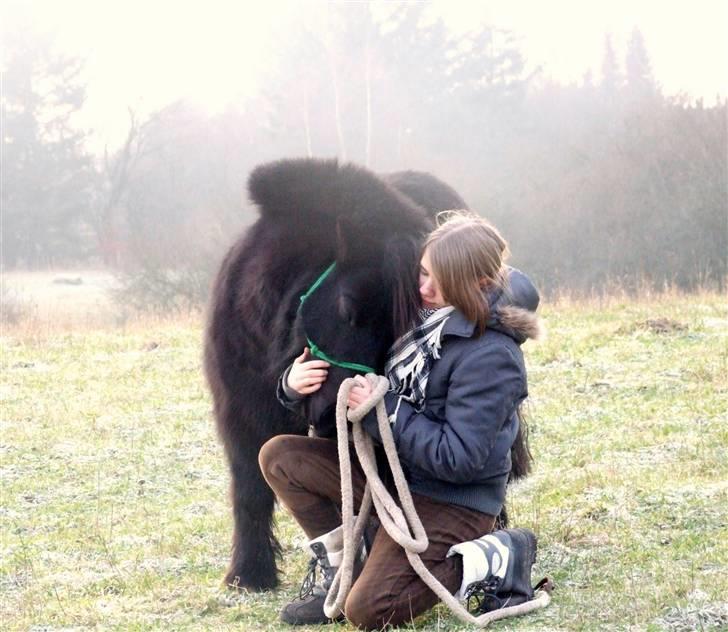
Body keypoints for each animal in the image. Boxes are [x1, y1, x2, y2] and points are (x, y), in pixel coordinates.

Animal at [205, 158, 528, 592]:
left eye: (398, 326)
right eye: (348, 306)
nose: (327, 413)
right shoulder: (241, 411)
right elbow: (251, 488)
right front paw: (249, 574)